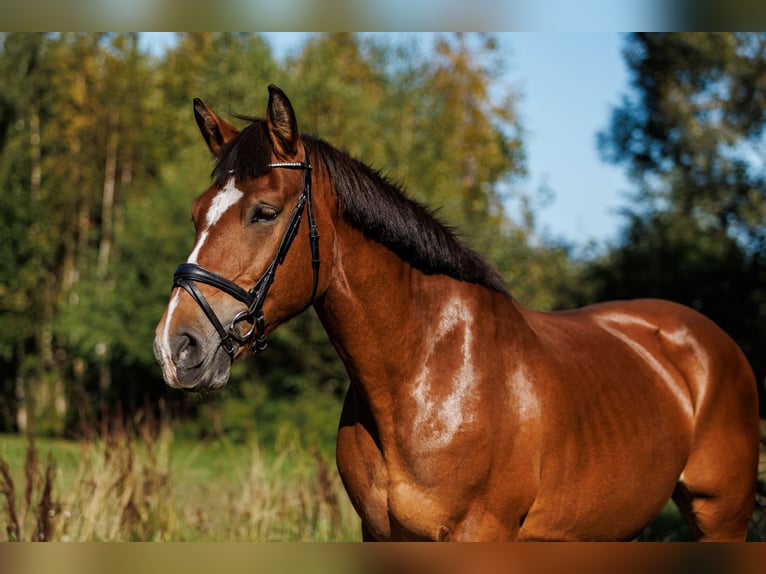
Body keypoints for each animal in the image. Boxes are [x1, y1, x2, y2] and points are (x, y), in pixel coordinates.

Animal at [154, 83, 760, 544]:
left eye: (264, 212)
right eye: (196, 213)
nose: (175, 347)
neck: (426, 377)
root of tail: (711, 343)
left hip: (720, 517)